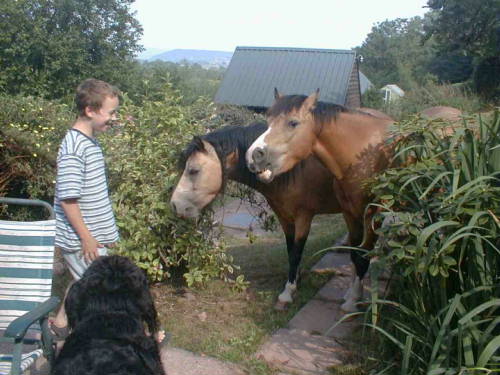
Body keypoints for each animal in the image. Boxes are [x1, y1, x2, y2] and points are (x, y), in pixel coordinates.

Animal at [170, 122, 354, 310]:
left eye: (193, 170)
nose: (175, 205)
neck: (293, 169)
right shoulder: (284, 217)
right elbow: (291, 250)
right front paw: (295, 280)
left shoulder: (303, 217)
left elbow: (296, 253)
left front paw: (287, 292)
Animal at [246, 90, 394, 312]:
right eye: (268, 120)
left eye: (293, 123)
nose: (253, 156)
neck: (366, 153)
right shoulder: (350, 214)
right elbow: (354, 254)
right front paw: (353, 295)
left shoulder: (371, 215)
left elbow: (362, 256)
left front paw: (353, 302)